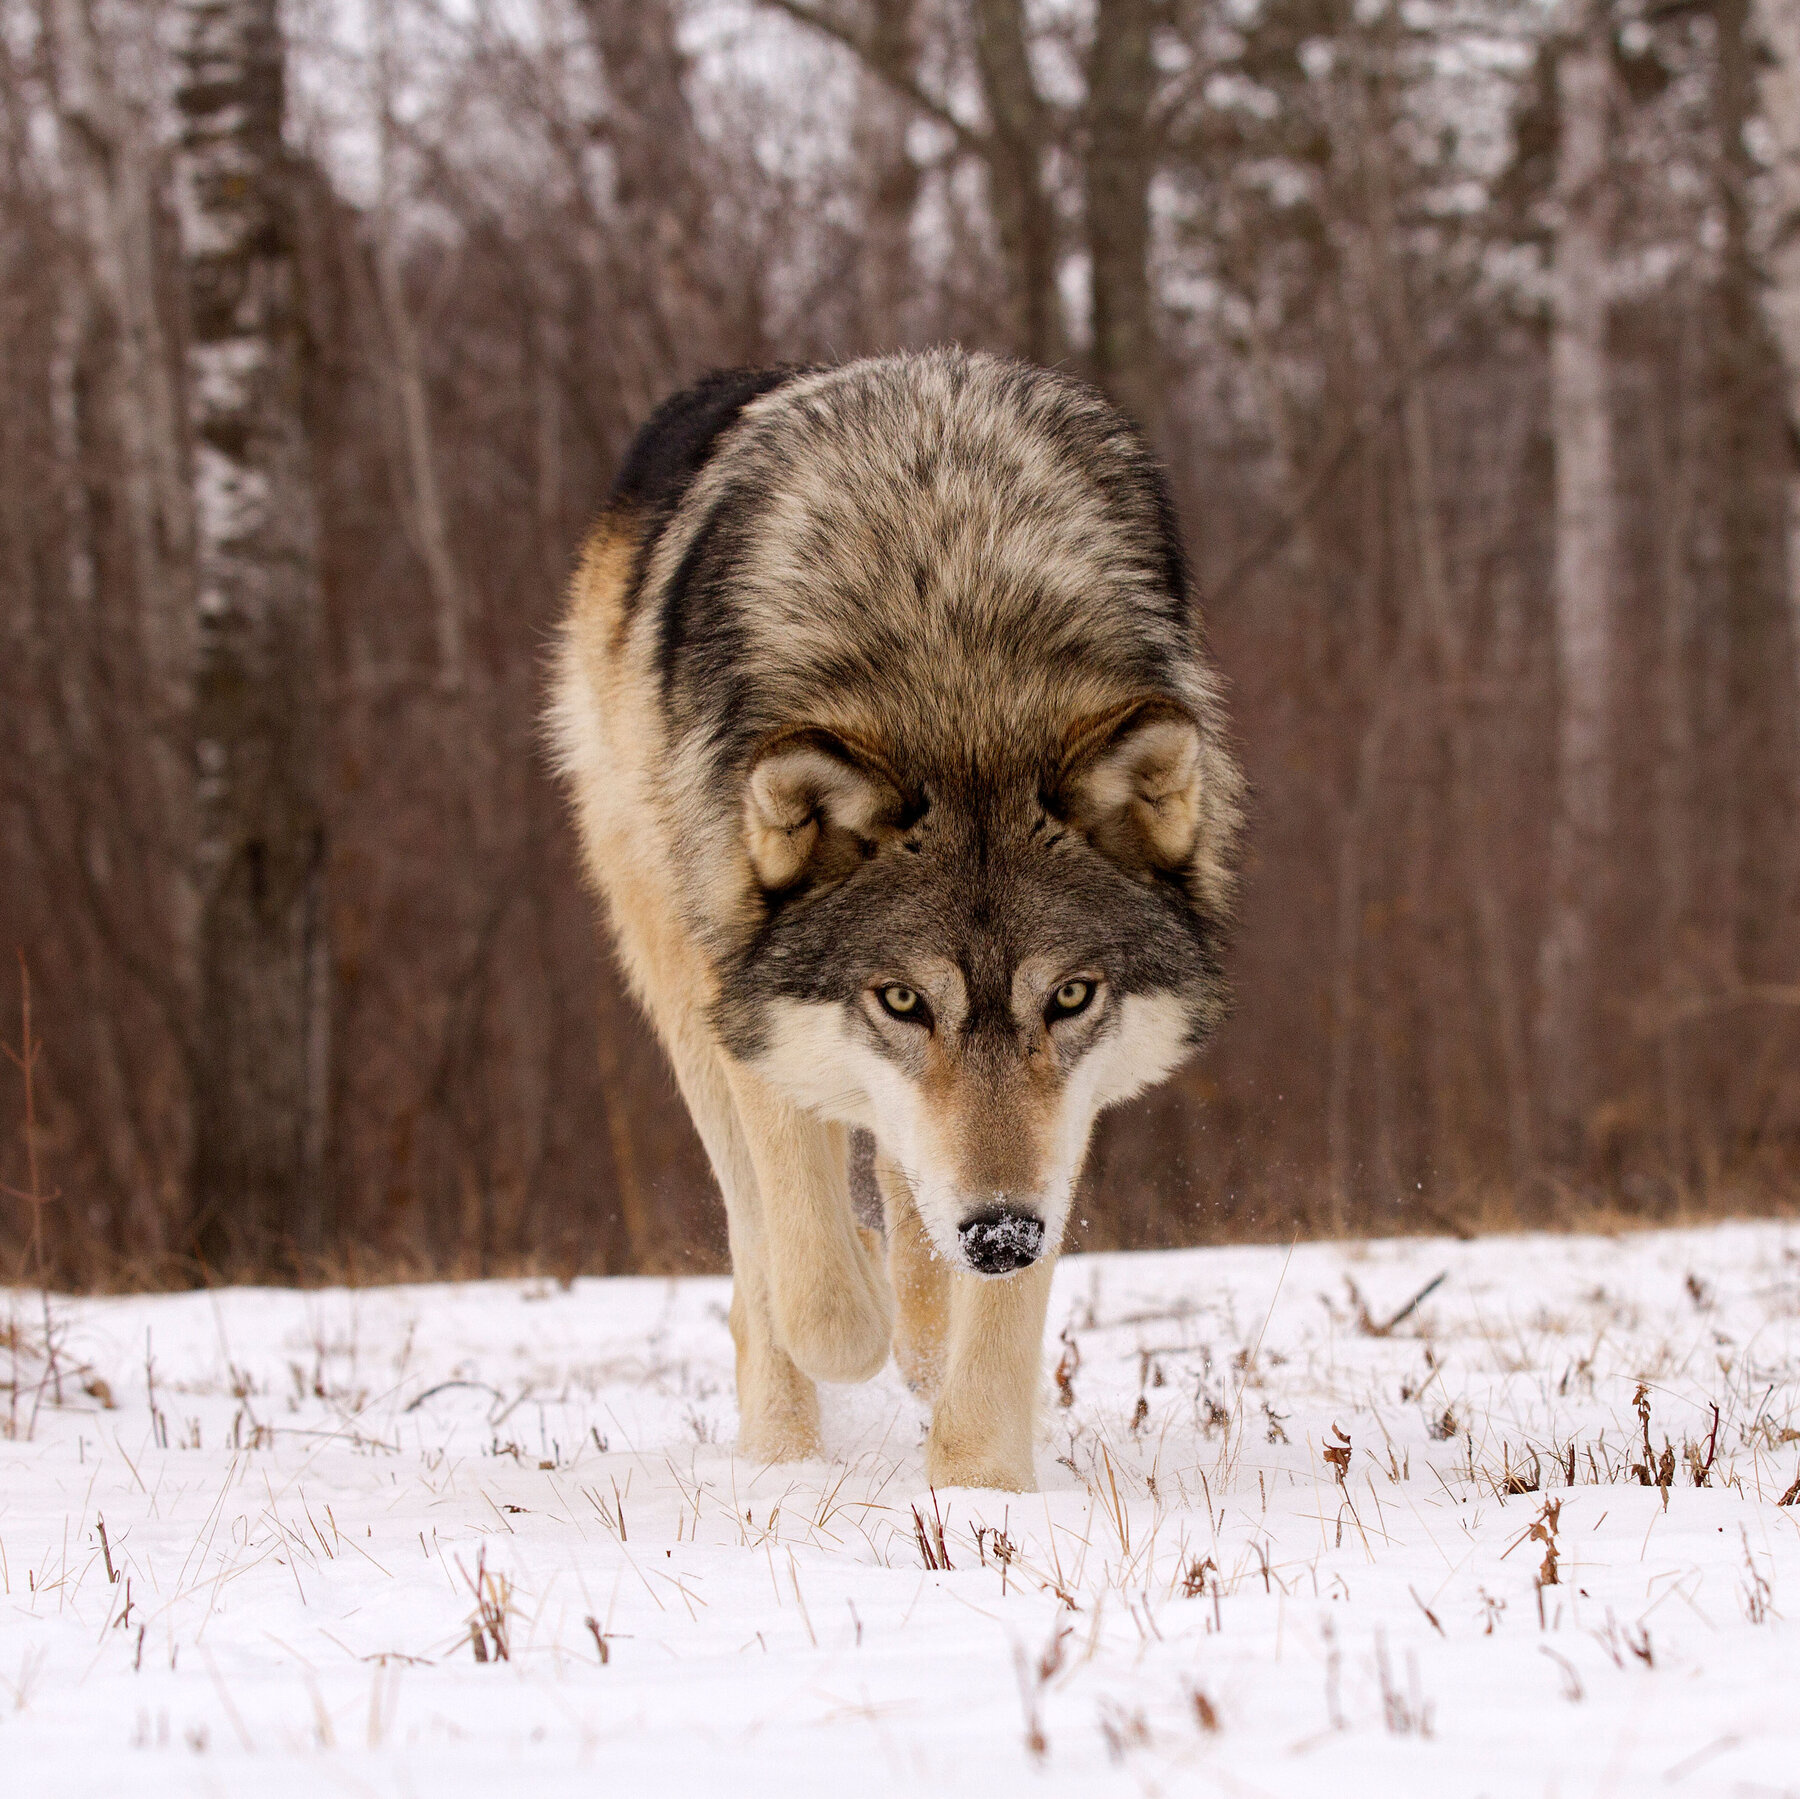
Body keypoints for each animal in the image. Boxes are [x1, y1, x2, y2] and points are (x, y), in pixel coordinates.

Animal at [550, 349, 1243, 1491]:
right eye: (901, 998)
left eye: (1071, 995)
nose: (1001, 1235)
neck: (956, 670)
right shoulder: (752, 1003)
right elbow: (822, 1300)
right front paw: (864, 1307)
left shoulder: (1059, 1123)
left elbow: (985, 1324)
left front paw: (980, 1492)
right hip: (672, 964)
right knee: (763, 1249)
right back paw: (783, 1451)